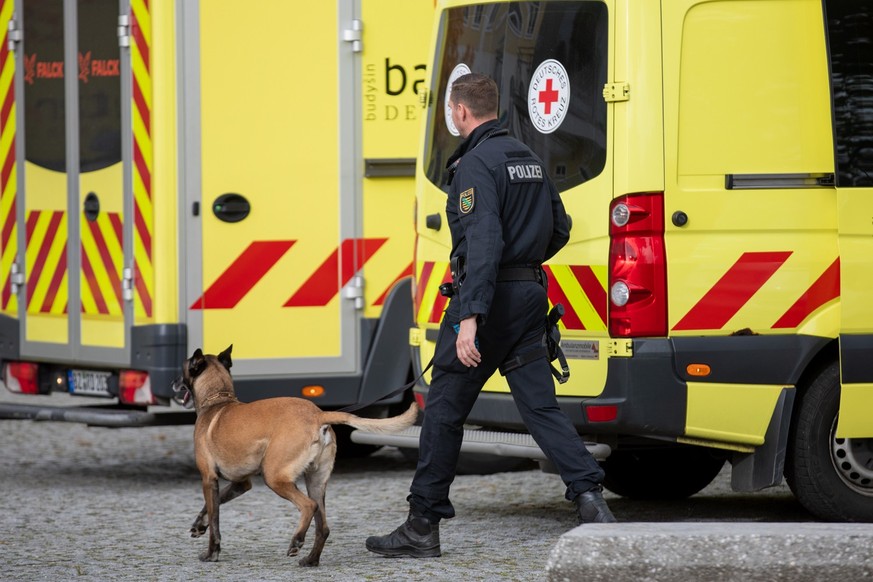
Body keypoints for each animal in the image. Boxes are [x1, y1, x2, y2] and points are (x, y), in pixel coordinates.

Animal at [172, 344, 418, 568]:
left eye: (183, 369)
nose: (173, 383)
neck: (218, 400)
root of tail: (318, 414)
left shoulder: (208, 478)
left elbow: (215, 518)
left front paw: (211, 553)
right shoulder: (240, 483)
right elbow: (212, 506)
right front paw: (199, 525)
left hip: (275, 477)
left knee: (308, 506)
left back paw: (297, 541)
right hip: (315, 482)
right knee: (323, 526)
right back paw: (310, 560)